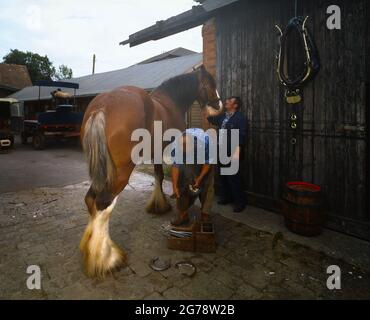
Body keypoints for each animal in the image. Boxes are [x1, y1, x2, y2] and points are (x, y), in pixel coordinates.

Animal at [79, 65, 221, 278]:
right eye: (210, 83)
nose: (218, 106)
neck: (171, 102)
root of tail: (102, 106)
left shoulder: (157, 153)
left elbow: (158, 176)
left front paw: (158, 205)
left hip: (101, 172)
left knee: (91, 200)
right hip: (121, 173)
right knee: (104, 204)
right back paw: (106, 259)